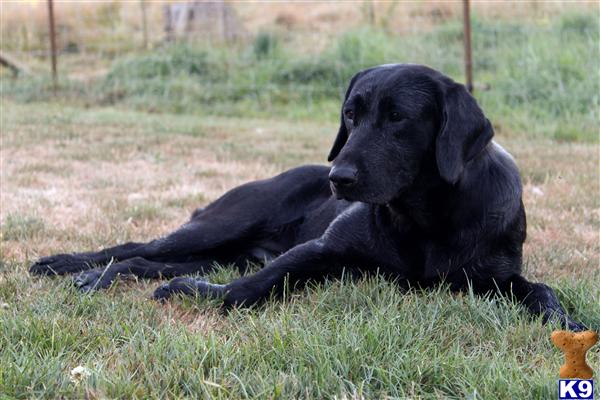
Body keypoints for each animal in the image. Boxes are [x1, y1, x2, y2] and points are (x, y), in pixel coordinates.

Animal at [31, 63, 584, 332]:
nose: (338, 177)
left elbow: (542, 291)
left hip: (218, 252)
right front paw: (197, 295)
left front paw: (567, 322)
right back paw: (69, 266)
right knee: (130, 247)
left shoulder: (496, 278)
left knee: (146, 261)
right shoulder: (320, 251)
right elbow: (247, 291)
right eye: (349, 115)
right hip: (220, 225)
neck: (424, 219)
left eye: (398, 118)